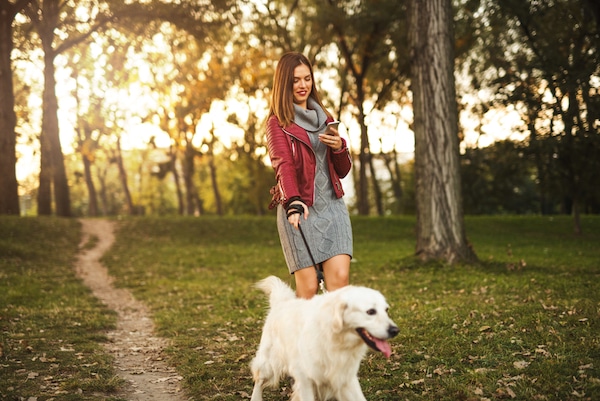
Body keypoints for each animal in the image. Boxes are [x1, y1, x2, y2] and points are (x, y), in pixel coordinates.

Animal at [248, 276, 398, 400]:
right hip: (269, 363)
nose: (395, 330)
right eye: (371, 311)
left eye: (386, 310)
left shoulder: (345, 379)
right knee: (259, 380)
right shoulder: (305, 381)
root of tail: (282, 303)